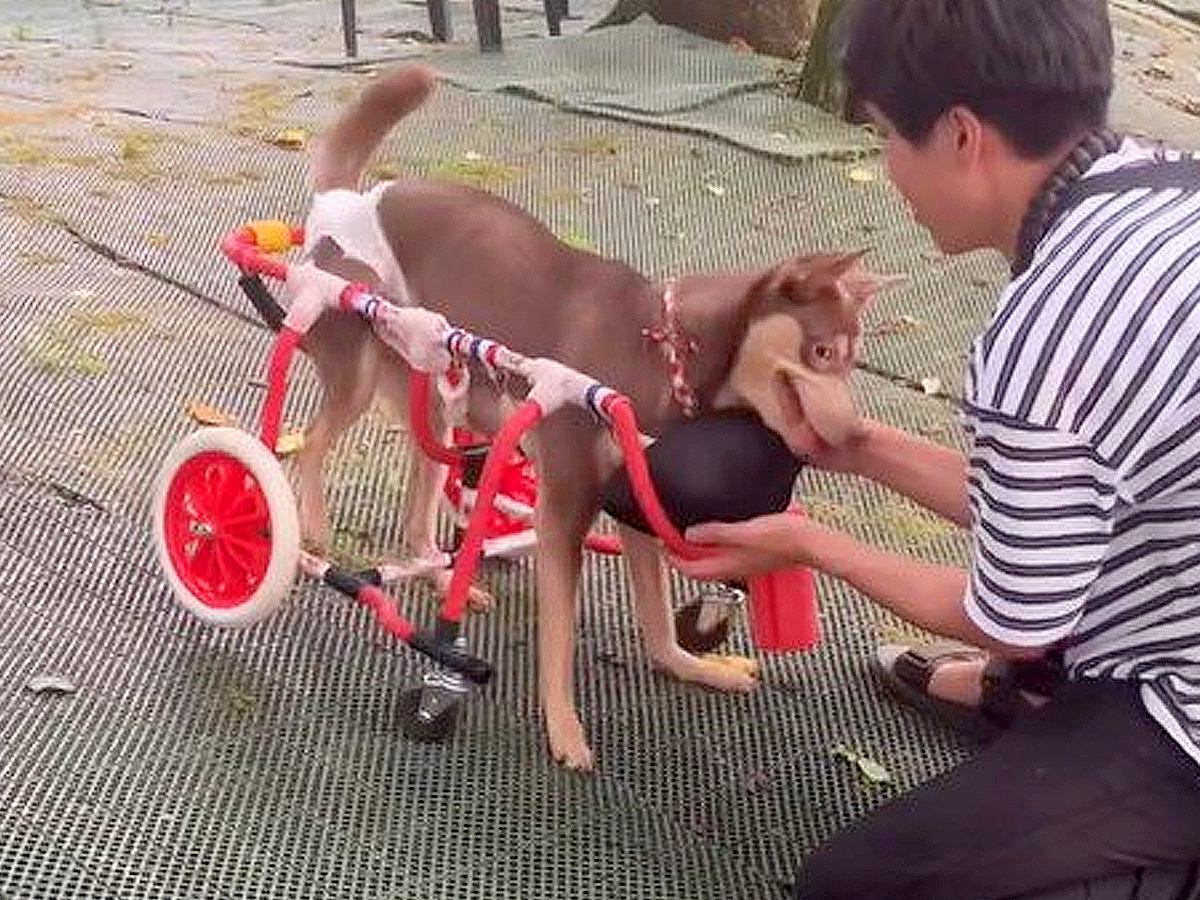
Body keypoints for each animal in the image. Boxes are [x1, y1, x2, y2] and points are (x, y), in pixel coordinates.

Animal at [294, 65, 888, 768]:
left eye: (854, 359)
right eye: (822, 351)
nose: (856, 436)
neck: (665, 352)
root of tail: (346, 202)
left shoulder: (633, 509)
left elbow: (657, 618)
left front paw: (690, 665)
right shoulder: (566, 509)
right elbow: (560, 637)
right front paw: (564, 728)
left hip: (438, 396)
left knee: (421, 503)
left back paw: (442, 577)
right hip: (355, 375)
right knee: (306, 451)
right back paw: (312, 536)